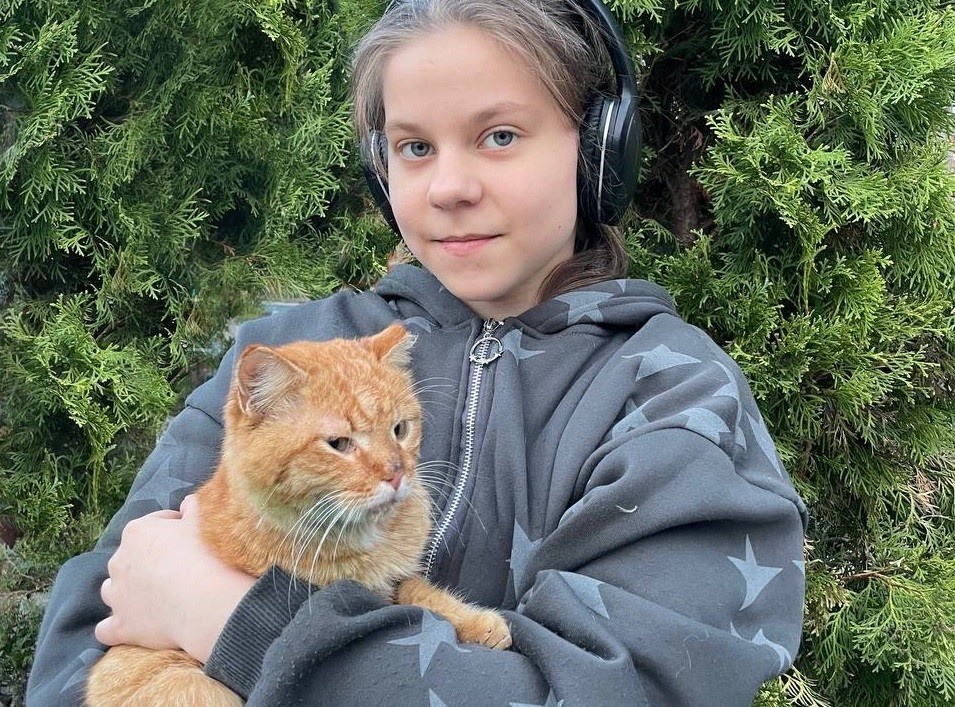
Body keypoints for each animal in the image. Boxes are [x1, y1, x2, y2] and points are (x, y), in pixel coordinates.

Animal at [86, 323, 511, 707]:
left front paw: (474, 620)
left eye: (400, 429)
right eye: (338, 443)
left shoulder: (393, 581)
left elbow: (414, 592)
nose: (396, 472)